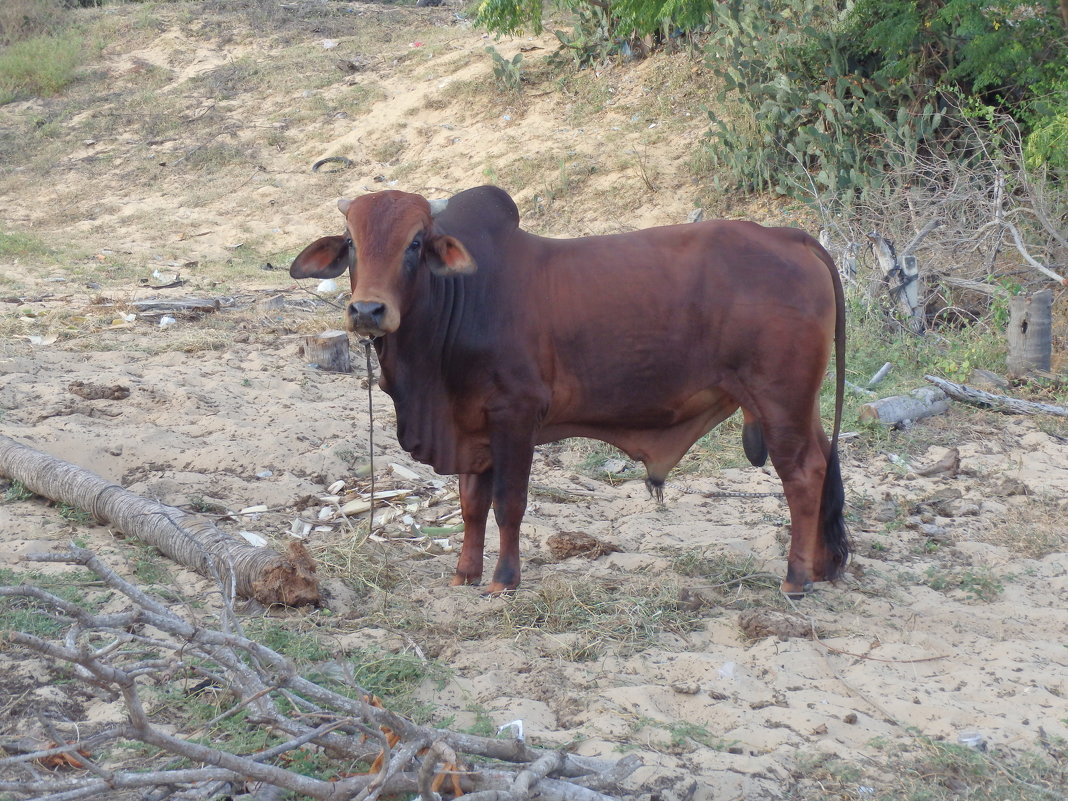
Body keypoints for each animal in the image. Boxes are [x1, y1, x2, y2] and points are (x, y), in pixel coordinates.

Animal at [288, 186, 845, 598]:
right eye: (351, 242)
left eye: (415, 242)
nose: (367, 311)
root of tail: (789, 236)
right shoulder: (471, 426)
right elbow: (470, 504)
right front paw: (464, 572)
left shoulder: (515, 416)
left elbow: (508, 502)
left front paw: (503, 579)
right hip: (799, 402)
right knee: (825, 459)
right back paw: (823, 566)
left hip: (778, 397)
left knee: (803, 473)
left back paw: (796, 578)